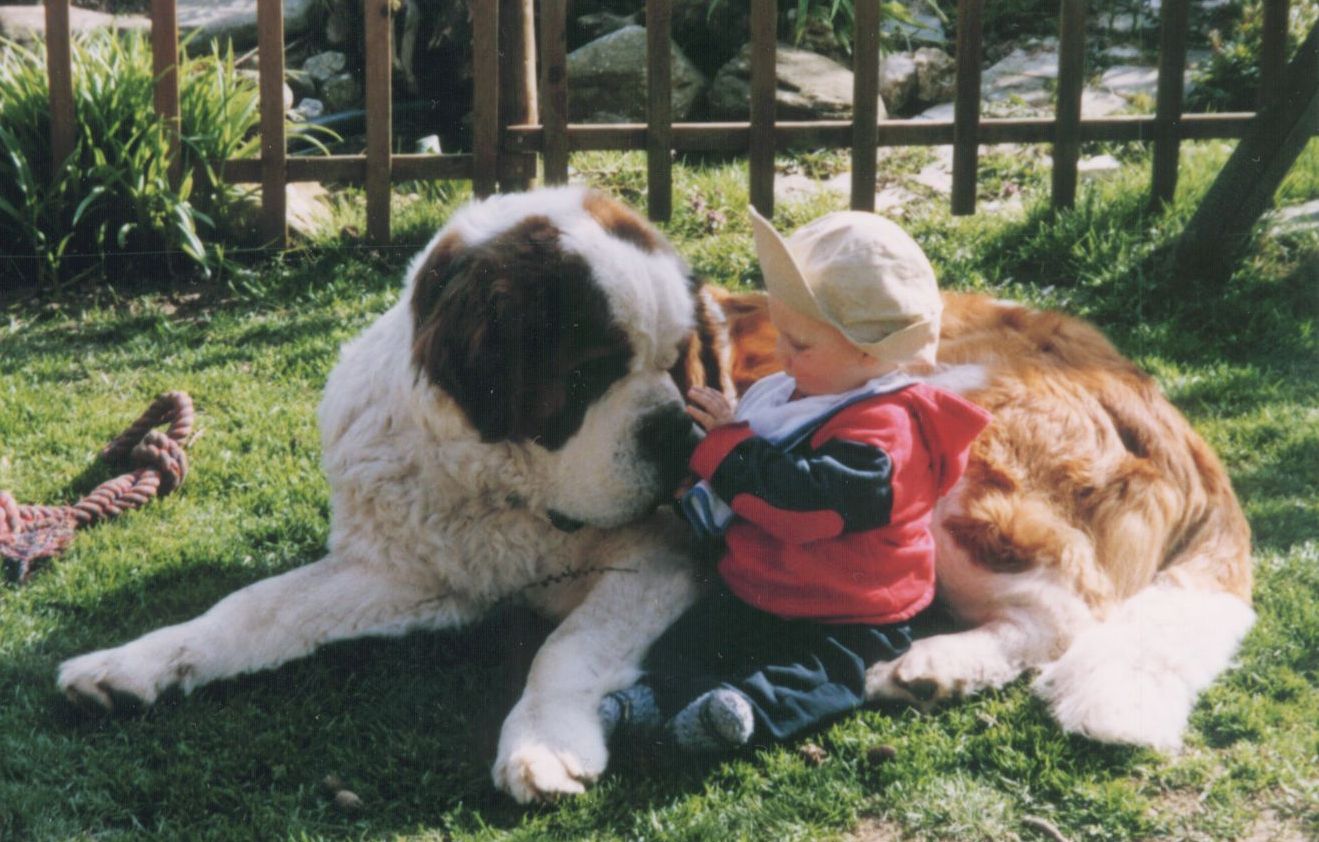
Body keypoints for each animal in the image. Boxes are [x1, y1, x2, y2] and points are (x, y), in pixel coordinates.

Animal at [54, 184, 1255, 802]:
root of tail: (1145, 386)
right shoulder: (405, 567)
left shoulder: (664, 555)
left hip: (957, 465)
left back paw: (935, 665)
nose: (682, 432)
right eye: (589, 368)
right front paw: (130, 666)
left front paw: (545, 740)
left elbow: (564, 644)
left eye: (683, 362)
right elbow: (247, 610)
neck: (500, 486)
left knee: (1063, 611)